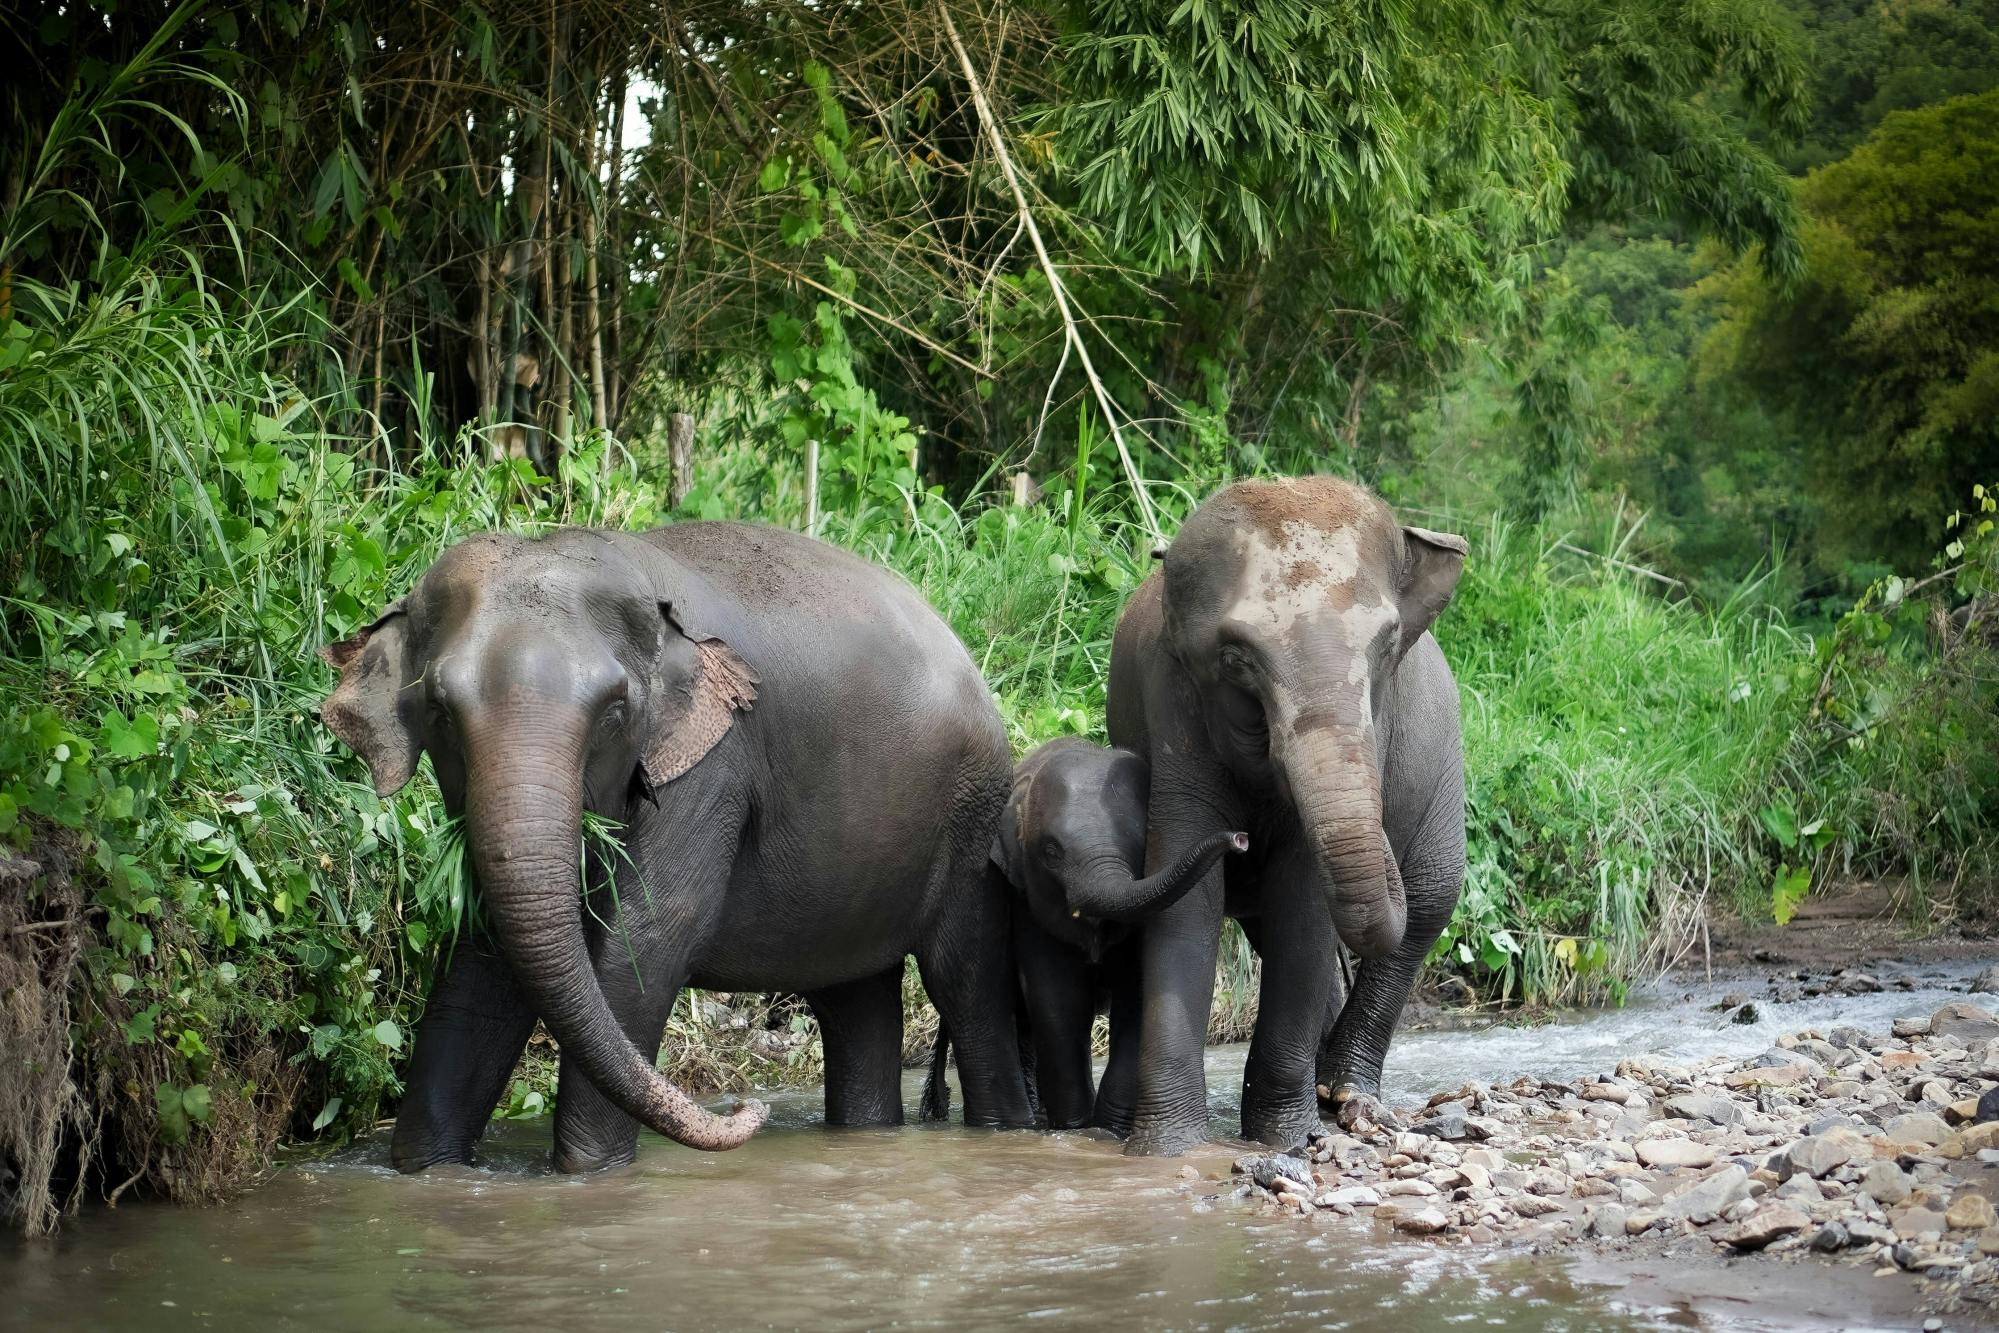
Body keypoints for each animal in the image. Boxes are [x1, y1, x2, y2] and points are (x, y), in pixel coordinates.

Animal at [923, 739, 1247, 1135]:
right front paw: (1076, 1128)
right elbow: (1059, 999)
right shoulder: (1028, 902)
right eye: (1050, 851)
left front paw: (1106, 1129)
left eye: (1142, 844)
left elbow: (1137, 994)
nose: (1240, 839)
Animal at [1111, 479, 1471, 1159]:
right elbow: (1187, 898)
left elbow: (1303, 909)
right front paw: (1166, 1149)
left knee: (1431, 900)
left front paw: (1284, 1138)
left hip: (1445, 760)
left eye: (1388, 644)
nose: (1242, 839)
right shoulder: (1173, 701)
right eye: (1236, 659)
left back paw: (1346, 1095)